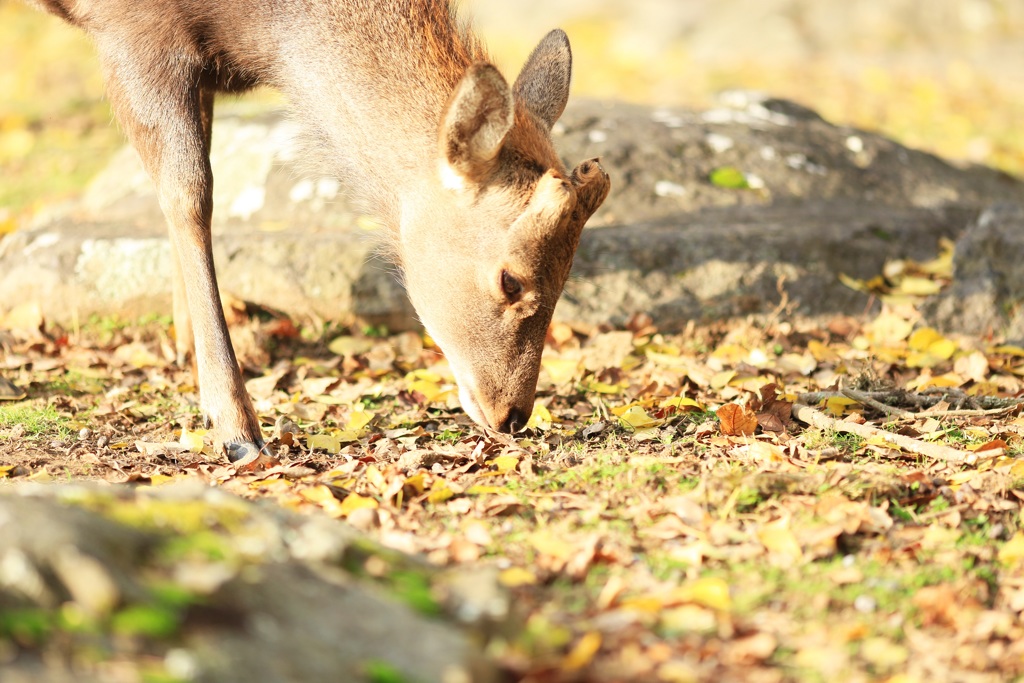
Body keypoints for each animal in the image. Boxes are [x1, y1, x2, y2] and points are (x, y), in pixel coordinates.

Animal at [25, 0, 606, 466]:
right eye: (510, 279)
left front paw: (185, 349)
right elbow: (191, 191)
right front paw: (236, 428)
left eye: (569, 274)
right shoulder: (133, 36)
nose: (512, 415)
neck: (249, 31)